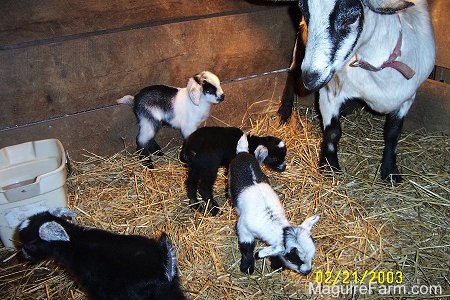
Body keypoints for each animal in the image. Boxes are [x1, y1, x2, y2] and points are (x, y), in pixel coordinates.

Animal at [18, 209, 185, 300]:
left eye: (31, 243)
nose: (24, 255)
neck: (76, 242)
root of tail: (165, 263)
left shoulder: (94, 286)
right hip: (170, 288)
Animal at [229, 135, 320, 276]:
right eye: (294, 259)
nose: (307, 271)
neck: (274, 223)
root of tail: (243, 153)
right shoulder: (244, 230)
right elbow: (247, 248)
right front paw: (247, 267)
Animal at [268, 0, 434, 183]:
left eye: (350, 18)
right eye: (305, 12)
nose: (310, 77)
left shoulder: (407, 98)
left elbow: (393, 133)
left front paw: (390, 172)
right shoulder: (329, 92)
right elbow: (333, 132)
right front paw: (330, 167)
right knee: (293, 69)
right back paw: (284, 113)